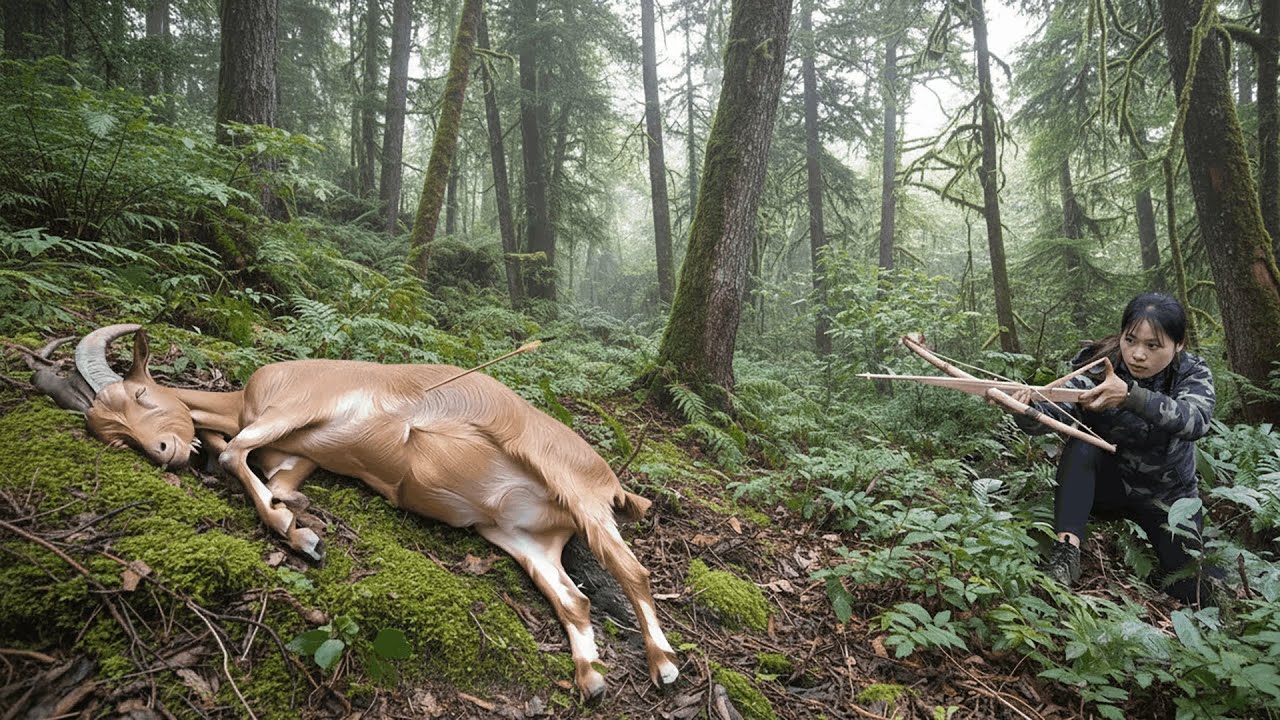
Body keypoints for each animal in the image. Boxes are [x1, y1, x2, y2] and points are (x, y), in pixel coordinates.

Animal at [31, 324, 680, 698]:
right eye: (113, 436)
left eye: (141, 394)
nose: (163, 451)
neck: (241, 401)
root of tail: (610, 478)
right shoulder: (297, 452)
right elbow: (266, 472)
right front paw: (294, 514)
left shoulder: (297, 406)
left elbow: (235, 454)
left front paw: (295, 531)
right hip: (521, 537)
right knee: (574, 600)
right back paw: (591, 678)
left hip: (582, 495)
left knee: (634, 573)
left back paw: (664, 665)